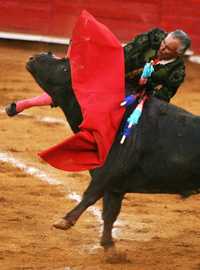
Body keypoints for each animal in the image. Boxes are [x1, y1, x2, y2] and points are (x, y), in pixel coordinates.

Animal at [26, 51, 200, 248]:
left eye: (65, 67)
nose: (33, 57)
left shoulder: (108, 172)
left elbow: (91, 195)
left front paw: (64, 221)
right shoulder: (115, 186)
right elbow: (109, 213)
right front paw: (108, 245)